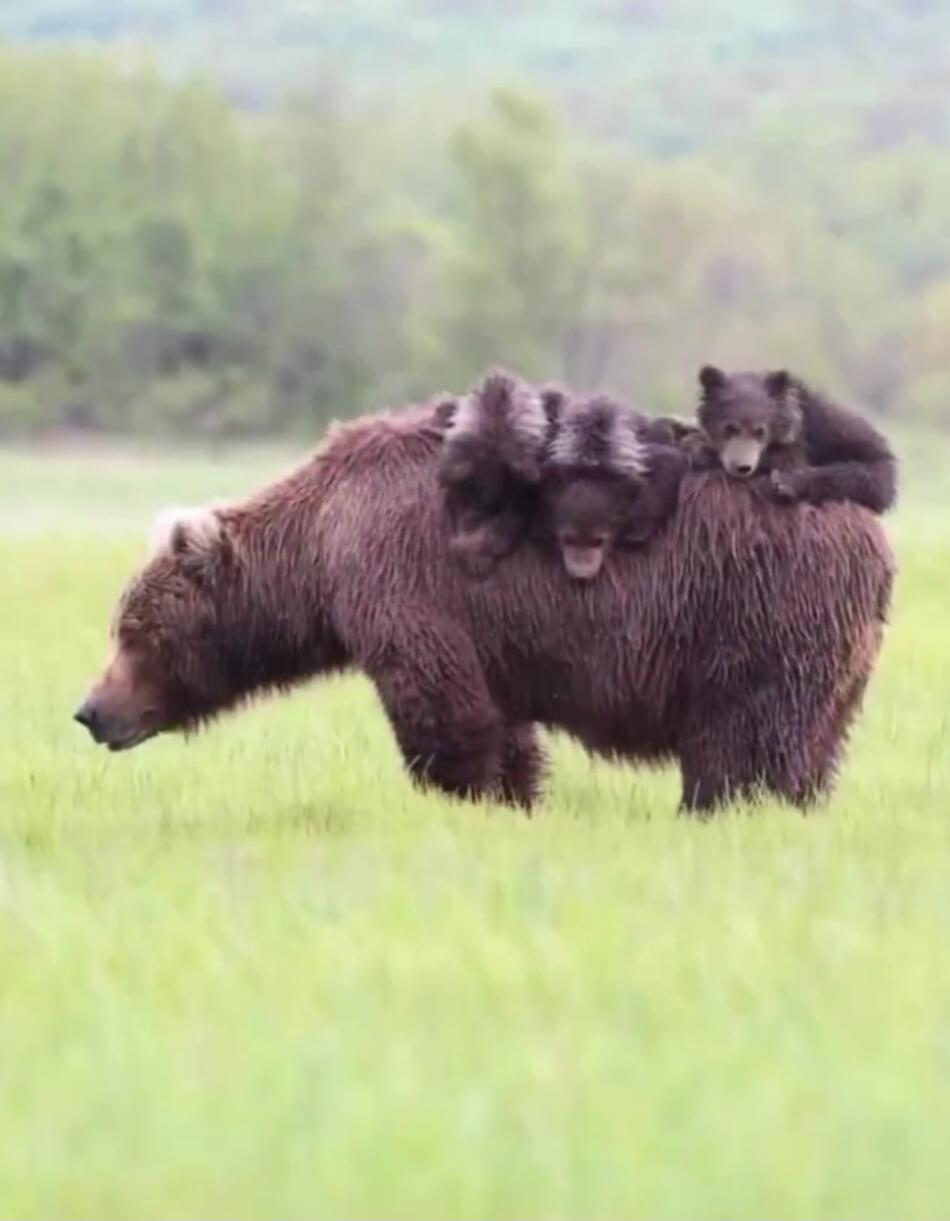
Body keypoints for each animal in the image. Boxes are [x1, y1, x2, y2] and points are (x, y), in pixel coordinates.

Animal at [75, 397, 895, 815]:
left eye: (134, 632)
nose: (89, 710)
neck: (320, 546)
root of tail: (874, 539)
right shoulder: (485, 631)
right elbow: (503, 721)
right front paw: (516, 793)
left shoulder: (404, 580)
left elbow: (444, 707)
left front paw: (465, 793)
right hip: (839, 656)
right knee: (814, 739)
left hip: (750, 610)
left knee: (745, 736)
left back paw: (721, 804)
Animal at [691, 366, 898, 514]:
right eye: (729, 427)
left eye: (760, 431)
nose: (742, 467)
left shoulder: (811, 435)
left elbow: (788, 459)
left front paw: (702, 450)